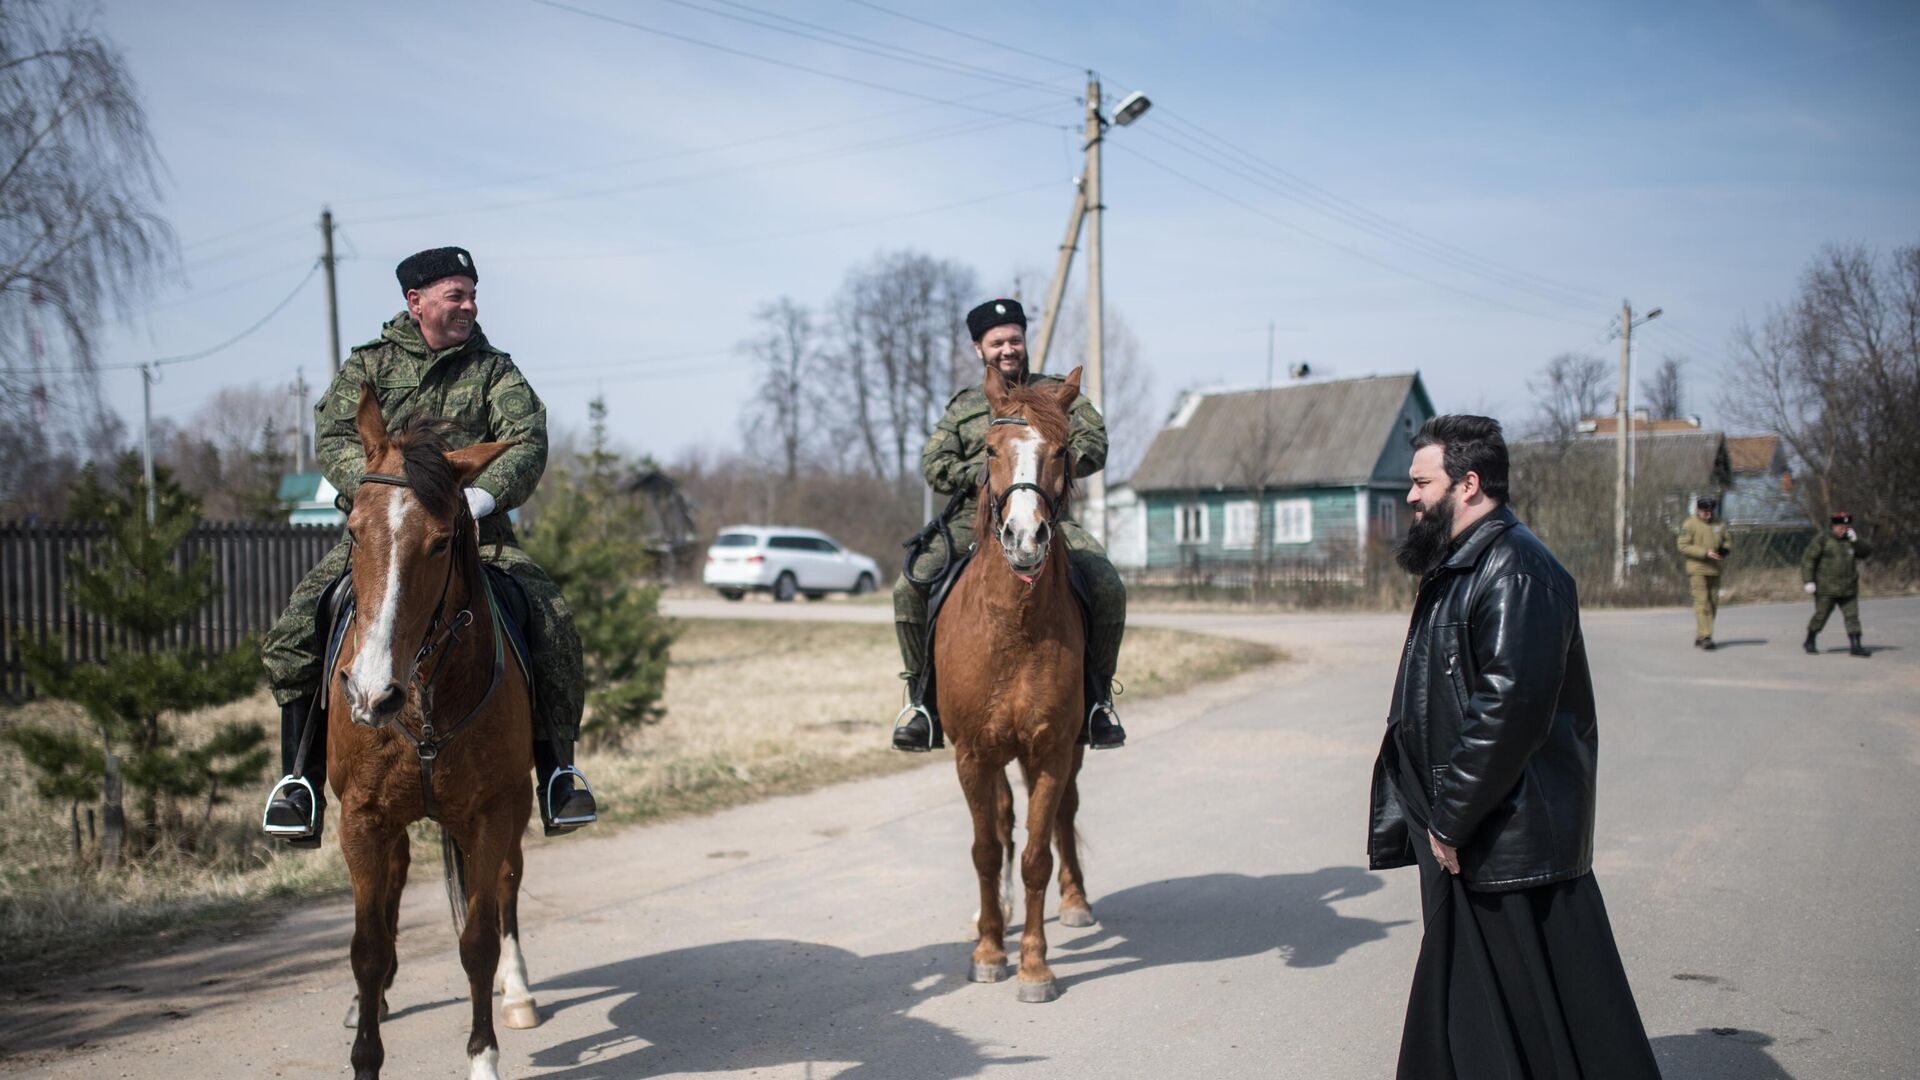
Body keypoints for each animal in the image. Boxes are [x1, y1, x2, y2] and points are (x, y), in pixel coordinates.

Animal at [330, 386, 541, 1076]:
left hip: (514, 809)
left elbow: (477, 941)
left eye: (444, 541)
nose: (372, 693)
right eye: (353, 529)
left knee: (506, 887)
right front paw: (366, 1054)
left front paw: (483, 1058)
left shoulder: (492, 813)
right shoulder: (361, 817)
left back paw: (518, 992)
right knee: (394, 882)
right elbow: (367, 947)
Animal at [940, 361, 1105, 999]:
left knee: (1062, 817)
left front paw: (1035, 967)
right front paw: (989, 952)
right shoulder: (972, 754)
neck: (1013, 627)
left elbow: (1037, 853)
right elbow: (988, 849)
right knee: (1006, 823)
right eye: (989, 450)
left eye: (1061, 451)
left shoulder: (1052, 749)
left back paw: (1076, 902)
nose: (1025, 538)